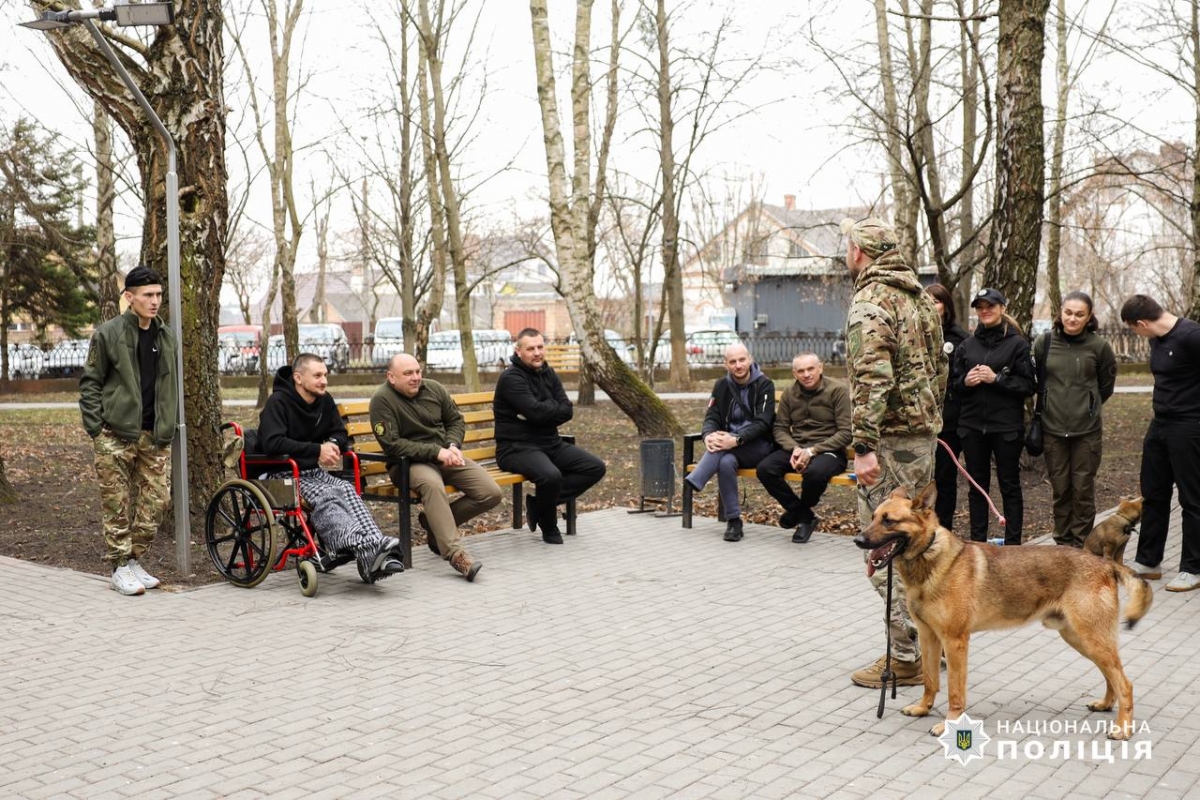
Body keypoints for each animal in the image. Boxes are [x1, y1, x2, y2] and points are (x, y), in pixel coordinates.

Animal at [854, 482, 1152, 738]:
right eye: (874, 517)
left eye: (889, 521)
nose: (858, 540)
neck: (930, 559)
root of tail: (1106, 564)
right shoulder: (929, 637)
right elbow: (930, 679)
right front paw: (923, 708)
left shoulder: (955, 642)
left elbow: (954, 691)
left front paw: (949, 723)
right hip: (1082, 640)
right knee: (1112, 676)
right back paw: (1106, 705)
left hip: (1091, 639)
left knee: (1125, 683)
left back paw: (1123, 728)